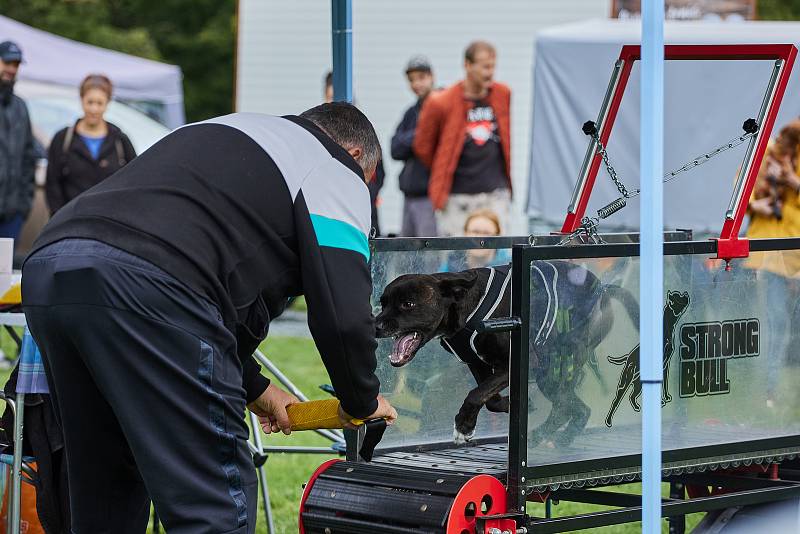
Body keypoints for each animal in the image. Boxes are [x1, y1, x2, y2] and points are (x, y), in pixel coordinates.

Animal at [376, 262, 636, 446]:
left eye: (408, 304)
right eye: (383, 302)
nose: (375, 325)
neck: (465, 305)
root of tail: (604, 290)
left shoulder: (519, 363)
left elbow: (475, 394)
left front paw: (464, 427)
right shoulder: (478, 363)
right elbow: (487, 397)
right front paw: (512, 404)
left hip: (553, 369)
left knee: (567, 408)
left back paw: (541, 437)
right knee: (578, 409)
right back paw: (559, 439)